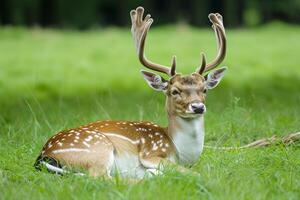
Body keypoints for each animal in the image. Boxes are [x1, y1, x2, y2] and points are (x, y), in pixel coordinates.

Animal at [34, 6, 298, 179]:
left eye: (204, 89)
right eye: (174, 91)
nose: (198, 106)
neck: (181, 151)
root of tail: (43, 155)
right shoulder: (152, 154)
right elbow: (197, 173)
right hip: (98, 151)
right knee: (101, 180)